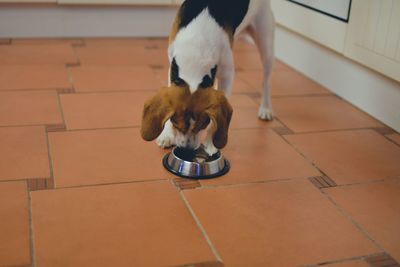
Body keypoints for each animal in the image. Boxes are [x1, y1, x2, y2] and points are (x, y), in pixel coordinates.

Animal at [141, 0, 276, 156]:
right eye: (176, 123)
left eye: (203, 126)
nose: (186, 151)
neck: (196, 50)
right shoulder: (171, 68)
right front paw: (167, 135)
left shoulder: (227, 75)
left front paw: (211, 143)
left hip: (266, 44)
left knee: (266, 81)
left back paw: (265, 108)